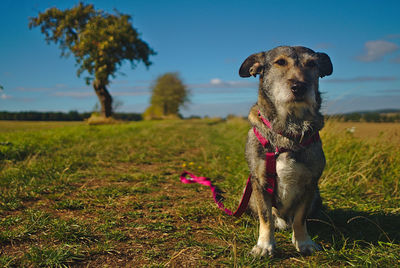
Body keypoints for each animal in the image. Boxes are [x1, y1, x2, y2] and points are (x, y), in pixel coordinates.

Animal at [239, 45, 332, 255]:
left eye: (312, 64)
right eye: (280, 62)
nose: (299, 87)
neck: (289, 130)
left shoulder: (310, 184)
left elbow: (300, 218)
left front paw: (303, 242)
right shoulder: (260, 182)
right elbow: (266, 217)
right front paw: (264, 245)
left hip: (317, 197)